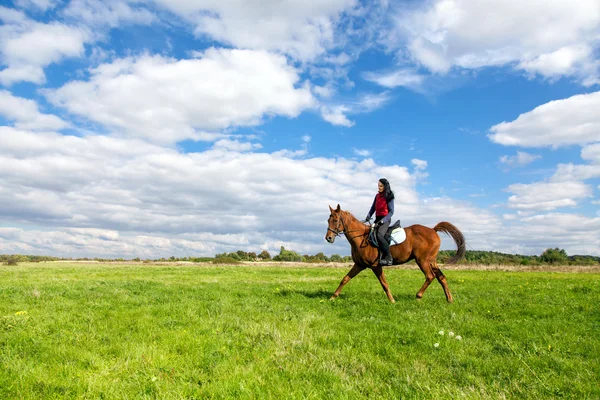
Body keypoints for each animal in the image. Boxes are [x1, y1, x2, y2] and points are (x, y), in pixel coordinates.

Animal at [326, 205, 466, 302]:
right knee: (441, 277)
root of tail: (433, 230)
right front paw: (332, 297)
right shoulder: (359, 265)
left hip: (423, 260)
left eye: (336, 220)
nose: (328, 238)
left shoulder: (376, 266)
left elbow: (384, 283)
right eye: (328, 220)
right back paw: (449, 299)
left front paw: (392, 300)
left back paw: (418, 296)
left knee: (430, 276)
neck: (361, 237)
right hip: (432, 261)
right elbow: (345, 279)